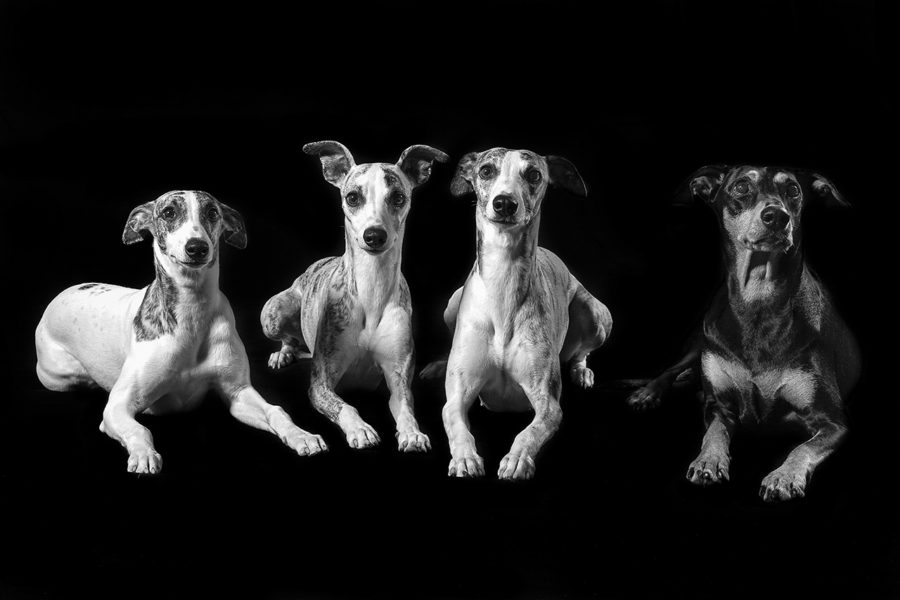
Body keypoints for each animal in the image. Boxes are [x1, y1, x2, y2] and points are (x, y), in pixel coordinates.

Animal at [35, 191, 327, 474]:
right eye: (168, 212)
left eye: (212, 212)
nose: (197, 247)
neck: (192, 310)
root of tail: (63, 292)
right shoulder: (118, 406)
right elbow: (139, 428)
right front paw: (144, 454)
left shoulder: (238, 392)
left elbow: (276, 411)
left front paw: (301, 435)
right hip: (63, 376)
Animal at [261, 141, 448, 451]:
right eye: (352, 197)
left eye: (398, 197)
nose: (374, 235)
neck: (371, 290)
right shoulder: (321, 383)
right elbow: (345, 406)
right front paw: (360, 429)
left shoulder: (398, 379)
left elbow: (405, 408)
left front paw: (412, 433)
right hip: (274, 312)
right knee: (288, 337)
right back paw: (282, 355)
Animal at [430, 148, 612, 480]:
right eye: (486, 170)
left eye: (534, 175)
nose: (504, 203)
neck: (503, 282)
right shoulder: (457, 397)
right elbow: (456, 423)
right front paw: (465, 458)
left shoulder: (548, 403)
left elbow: (530, 431)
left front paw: (517, 459)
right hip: (451, 304)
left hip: (593, 311)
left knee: (582, 350)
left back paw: (581, 370)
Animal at [628, 165, 860, 502]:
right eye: (740, 186)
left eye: (793, 190)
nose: (777, 217)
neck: (758, 302)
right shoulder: (718, 403)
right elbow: (714, 431)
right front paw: (708, 461)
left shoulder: (832, 421)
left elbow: (803, 448)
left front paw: (783, 476)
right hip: (699, 342)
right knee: (672, 369)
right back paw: (647, 392)